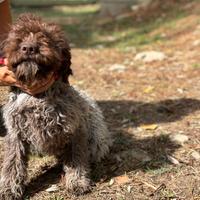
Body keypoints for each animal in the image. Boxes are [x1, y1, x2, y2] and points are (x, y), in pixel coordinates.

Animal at [0, 13, 112, 199]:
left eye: (47, 37)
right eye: (20, 37)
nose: (29, 48)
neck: (37, 97)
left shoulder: (74, 132)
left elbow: (76, 160)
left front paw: (77, 181)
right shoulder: (15, 135)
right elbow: (12, 163)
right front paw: (9, 188)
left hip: (96, 140)